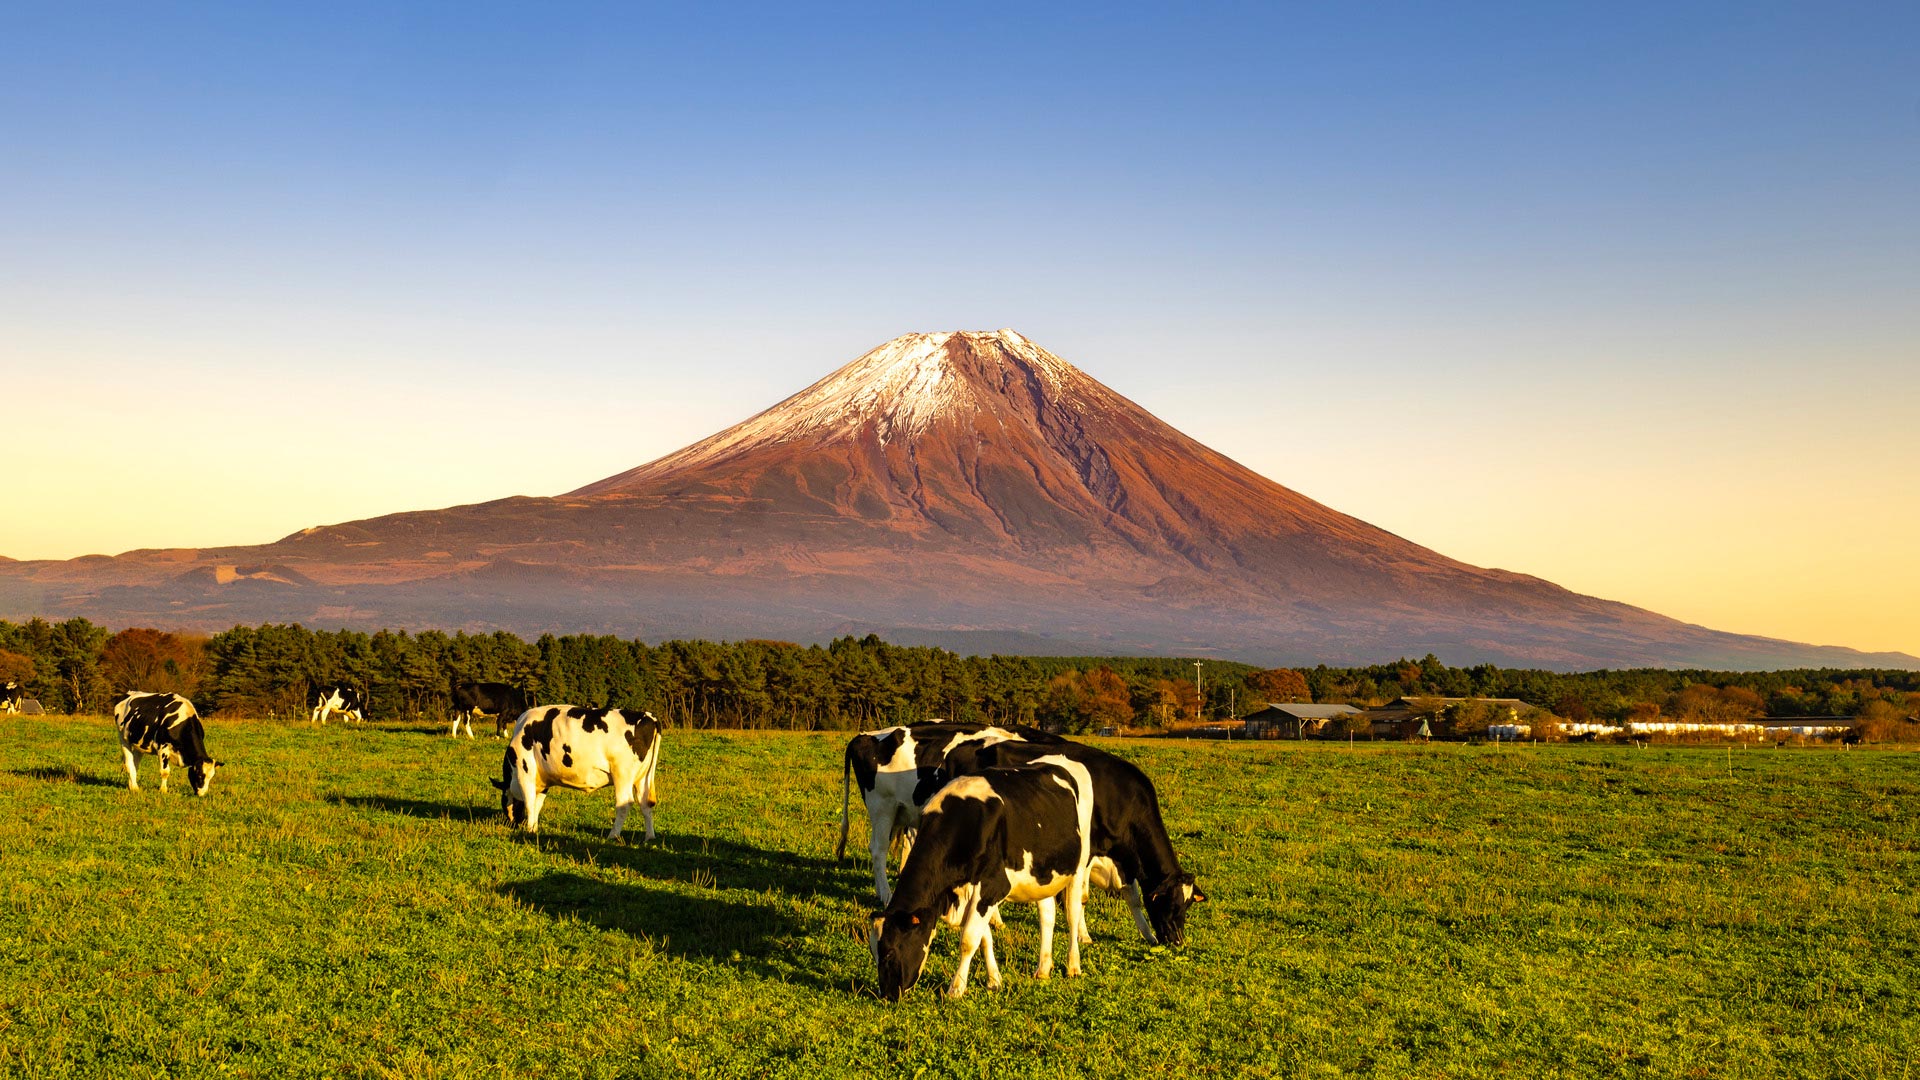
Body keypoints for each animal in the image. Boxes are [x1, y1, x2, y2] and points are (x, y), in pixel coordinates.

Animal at [491, 703, 664, 837]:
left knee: (624, 803)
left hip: (622, 774)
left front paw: (529, 830)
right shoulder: (542, 780)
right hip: (642, 777)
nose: (514, 823)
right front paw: (534, 828)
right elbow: (537, 804)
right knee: (645, 803)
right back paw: (649, 837)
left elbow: (529, 802)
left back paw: (613, 835)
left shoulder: (525, 772)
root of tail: (648, 716)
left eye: (503, 800)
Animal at [875, 753, 1098, 999]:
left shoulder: (992, 886)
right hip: (1042, 873)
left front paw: (956, 988)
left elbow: (969, 939)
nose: (887, 995)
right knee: (1047, 916)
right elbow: (984, 938)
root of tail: (1061, 759)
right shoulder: (969, 891)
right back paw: (1043, 969)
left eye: (889, 952)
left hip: (1079, 864)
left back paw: (1073, 965)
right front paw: (994, 980)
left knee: (1072, 914)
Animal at [940, 737, 1205, 941]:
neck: (1123, 798)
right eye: (1171, 903)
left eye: (1188, 905)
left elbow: (1133, 897)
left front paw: (1148, 935)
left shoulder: (1124, 856)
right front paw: (1083, 935)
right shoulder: (1088, 851)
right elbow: (1081, 898)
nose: (1178, 940)